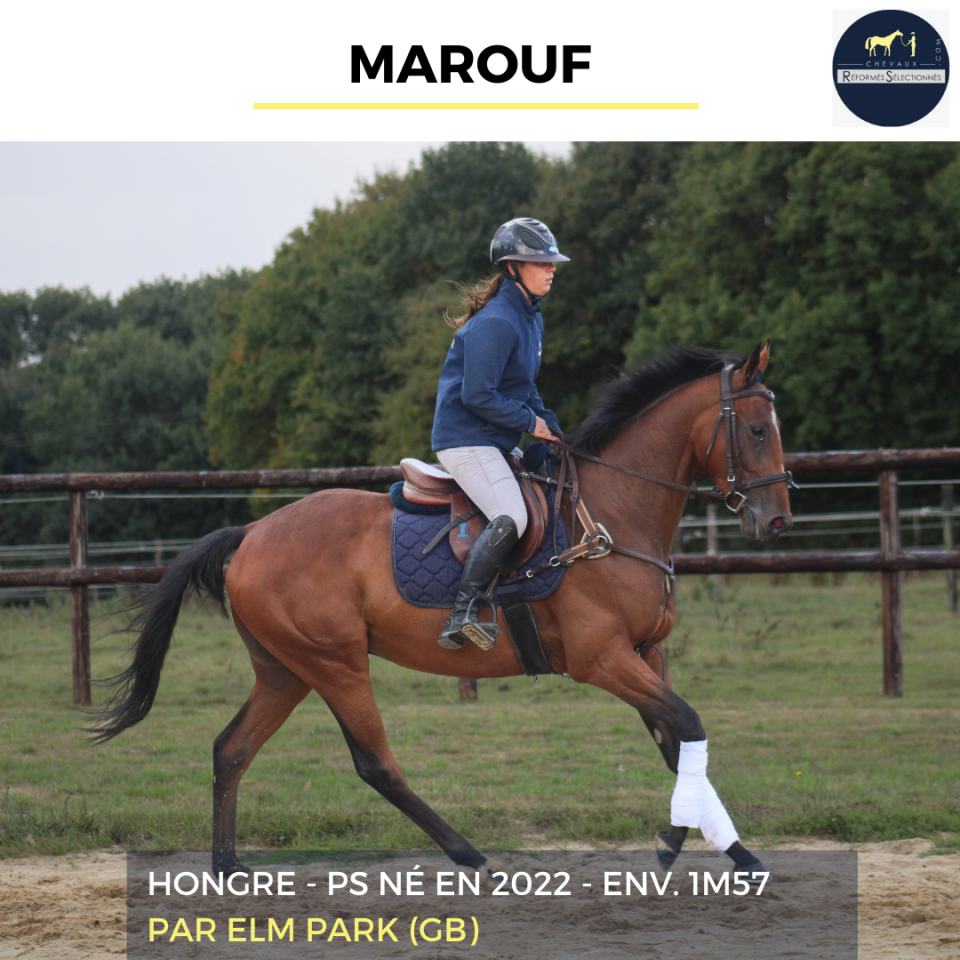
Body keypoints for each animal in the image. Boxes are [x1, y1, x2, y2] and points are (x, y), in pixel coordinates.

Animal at [91, 343, 793, 880]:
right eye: (758, 430)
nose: (777, 521)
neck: (612, 514)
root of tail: (254, 532)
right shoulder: (602, 659)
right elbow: (688, 723)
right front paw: (685, 843)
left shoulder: (648, 652)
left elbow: (678, 743)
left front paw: (734, 851)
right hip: (335, 663)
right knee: (374, 763)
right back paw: (469, 854)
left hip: (285, 670)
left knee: (231, 750)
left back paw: (228, 866)